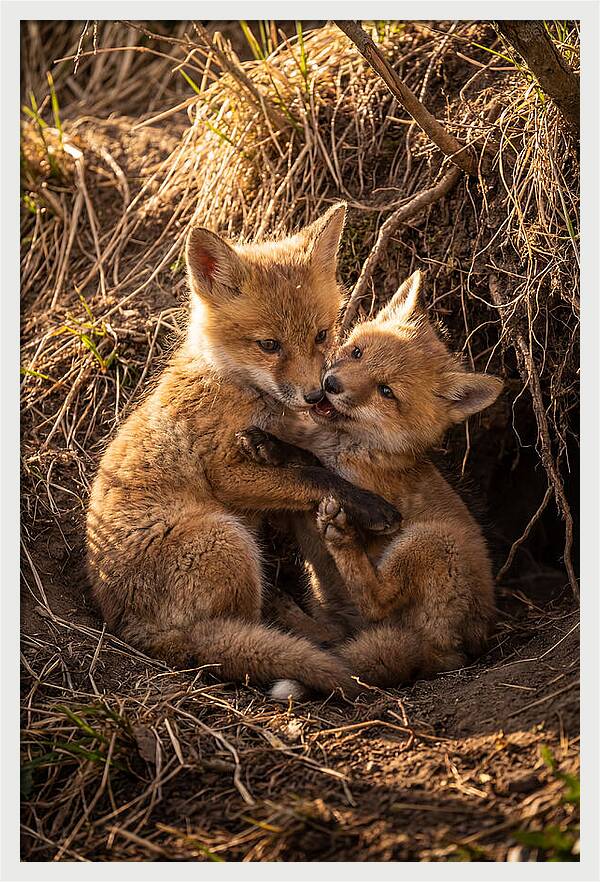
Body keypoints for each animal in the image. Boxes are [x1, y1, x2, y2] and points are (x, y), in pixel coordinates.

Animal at [85, 203, 402, 699]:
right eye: (269, 345)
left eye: (321, 335)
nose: (316, 395)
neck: (234, 384)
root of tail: (131, 630)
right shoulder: (226, 473)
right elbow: (313, 476)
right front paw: (369, 506)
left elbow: (306, 461)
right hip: (227, 538)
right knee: (242, 632)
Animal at [235, 270, 503, 701]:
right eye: (358, 352)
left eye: (386, 391)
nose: (330, 384)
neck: (346, 444)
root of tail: (455, 652)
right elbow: (303, 462)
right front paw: (269, 443)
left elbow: (315, 466)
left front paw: (279, 449)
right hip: (334, 602)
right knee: (335, 636)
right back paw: (290, 614)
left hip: (430, 541)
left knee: (377, 601)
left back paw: (341, 539)